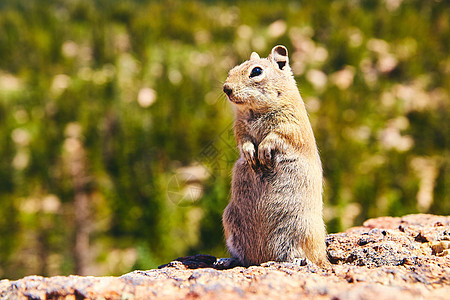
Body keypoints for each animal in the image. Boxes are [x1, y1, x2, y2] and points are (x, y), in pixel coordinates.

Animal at [220, 45, 328, 268]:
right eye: (232, 69)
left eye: (256, 71)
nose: (226, 88)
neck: (255, 111)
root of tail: (262, 258)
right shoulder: (239, 128)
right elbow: (243, 140)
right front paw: (251, 155)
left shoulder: (290, 124)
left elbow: (277, 136)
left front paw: (263, 151)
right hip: (230, 221)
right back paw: (227, 260)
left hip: (303, 228)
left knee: (312, 256)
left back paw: (299, 261)